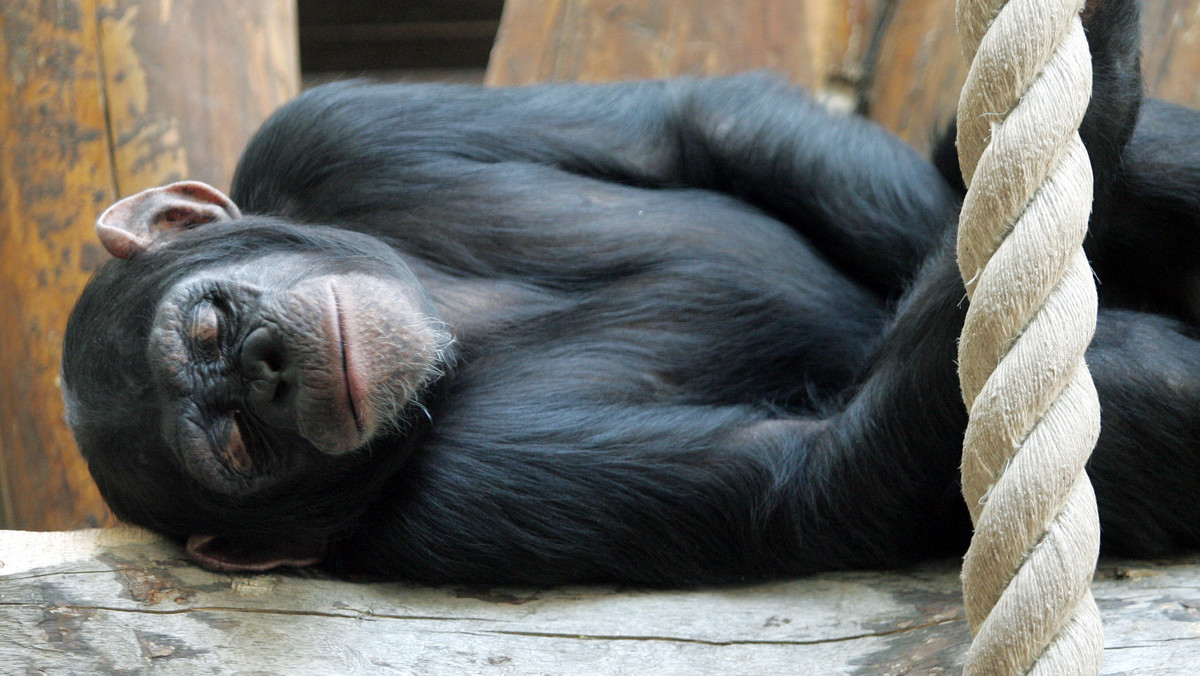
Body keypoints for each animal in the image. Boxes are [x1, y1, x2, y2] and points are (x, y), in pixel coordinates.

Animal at [58, 0, 1200, 583]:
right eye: (235, 443)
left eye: (212, 321)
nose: (266, 368)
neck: (456, 337)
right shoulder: (446, 508)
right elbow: (812, 474)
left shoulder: (329, 135)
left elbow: (709, 122)